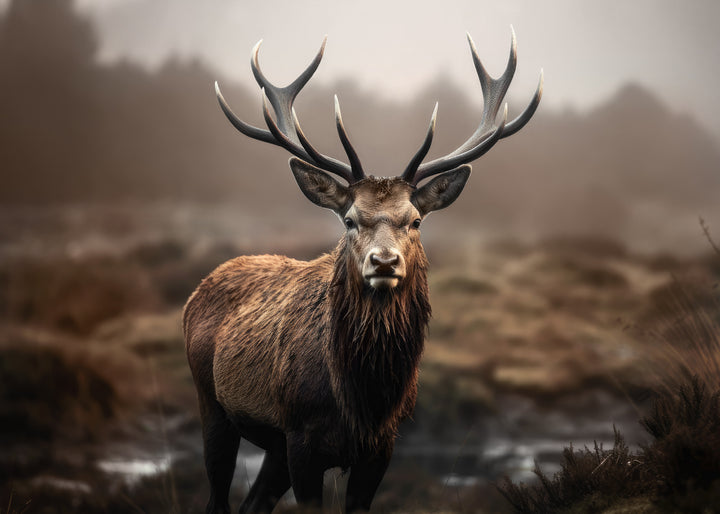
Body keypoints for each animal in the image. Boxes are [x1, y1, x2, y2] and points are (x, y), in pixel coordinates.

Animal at [184, 28, 542, 514]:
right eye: (350, 219)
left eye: (415, 220)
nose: (384, 261)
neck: (363, 401)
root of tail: (196, 292)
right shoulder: (301, 439)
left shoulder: (381, 448)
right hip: (213, 405)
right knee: (218, 495)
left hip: (272, 447)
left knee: (251, 503)